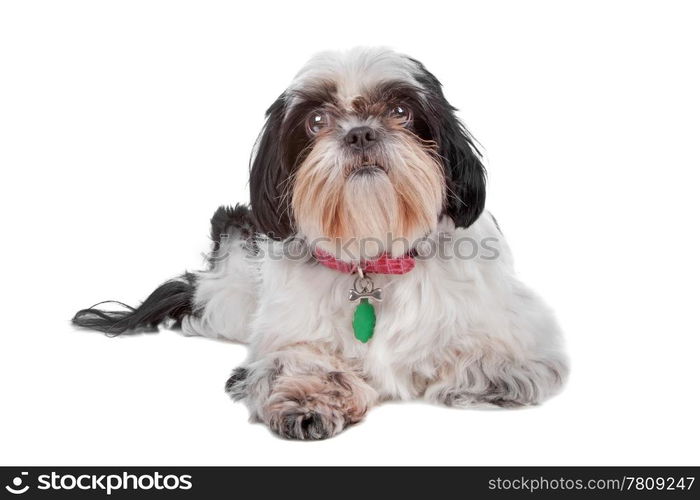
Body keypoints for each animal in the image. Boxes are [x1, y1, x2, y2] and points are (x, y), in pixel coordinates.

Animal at [74, 46, 568, 438]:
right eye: (316, 121)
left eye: (401, 112)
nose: (360, 132)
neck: (373, 256)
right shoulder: (286, 336)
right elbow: (299, 362)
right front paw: (308, 396)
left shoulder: (514, 320)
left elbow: (495, 353)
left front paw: (487, 376)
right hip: (233, 289)